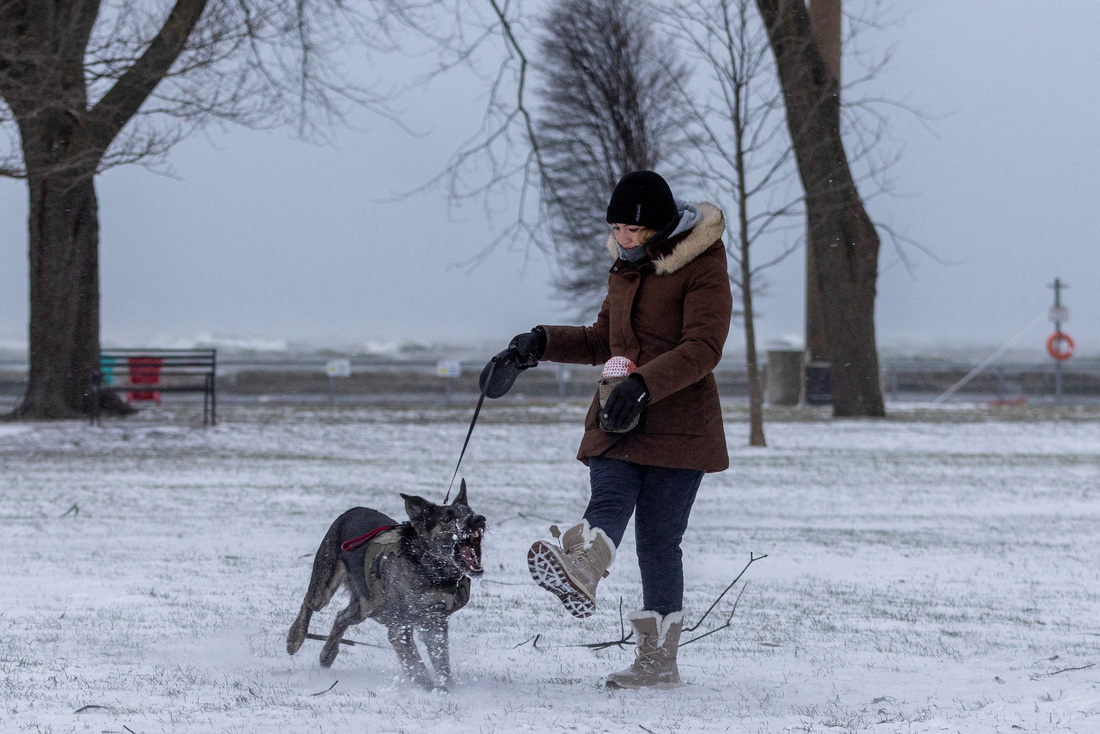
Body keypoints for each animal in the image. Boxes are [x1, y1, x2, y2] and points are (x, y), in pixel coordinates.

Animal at [288, 479, 486, 691]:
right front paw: (433, 689)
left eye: (470, 512)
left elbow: (441, 663)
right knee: (309, 602)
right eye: (447, 519)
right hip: (325, 586)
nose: (478, 519)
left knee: (342, 617)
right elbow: (417, 666)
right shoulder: (400, 629)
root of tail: (353, 510)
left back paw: (327, 654)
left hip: (366, 606)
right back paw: (294, 638)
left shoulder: (435, 626)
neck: (429, 569)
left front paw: (448, 686)